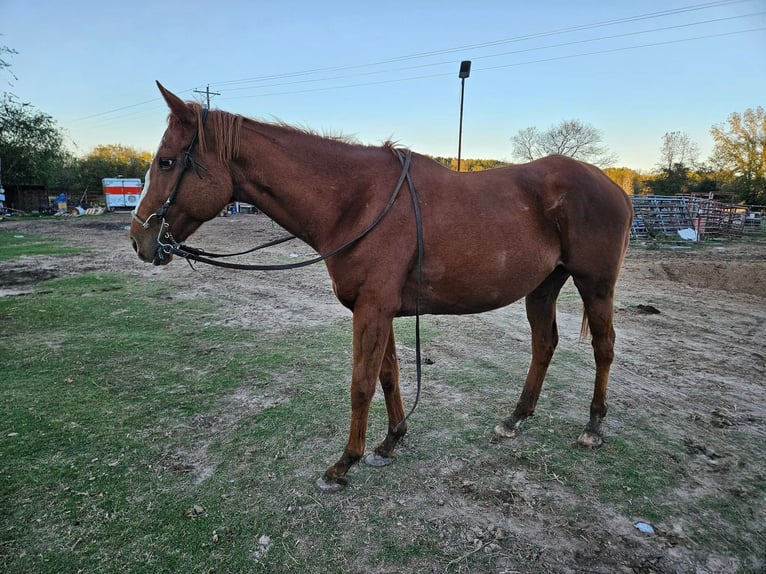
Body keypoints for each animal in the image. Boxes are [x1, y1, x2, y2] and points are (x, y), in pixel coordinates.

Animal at [134, 82, 636, 496]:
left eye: (166, 161)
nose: (140, 239)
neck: (356, 201)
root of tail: (615, 187)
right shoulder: (383, 310)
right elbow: (389, 375)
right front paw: (391, 442)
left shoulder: (371, 310)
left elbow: (361, 384)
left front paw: (343, 464)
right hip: (544, 286)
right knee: (544, 344)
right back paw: (515, 418)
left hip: (595, 285)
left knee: (604, 347)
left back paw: (593, 426)